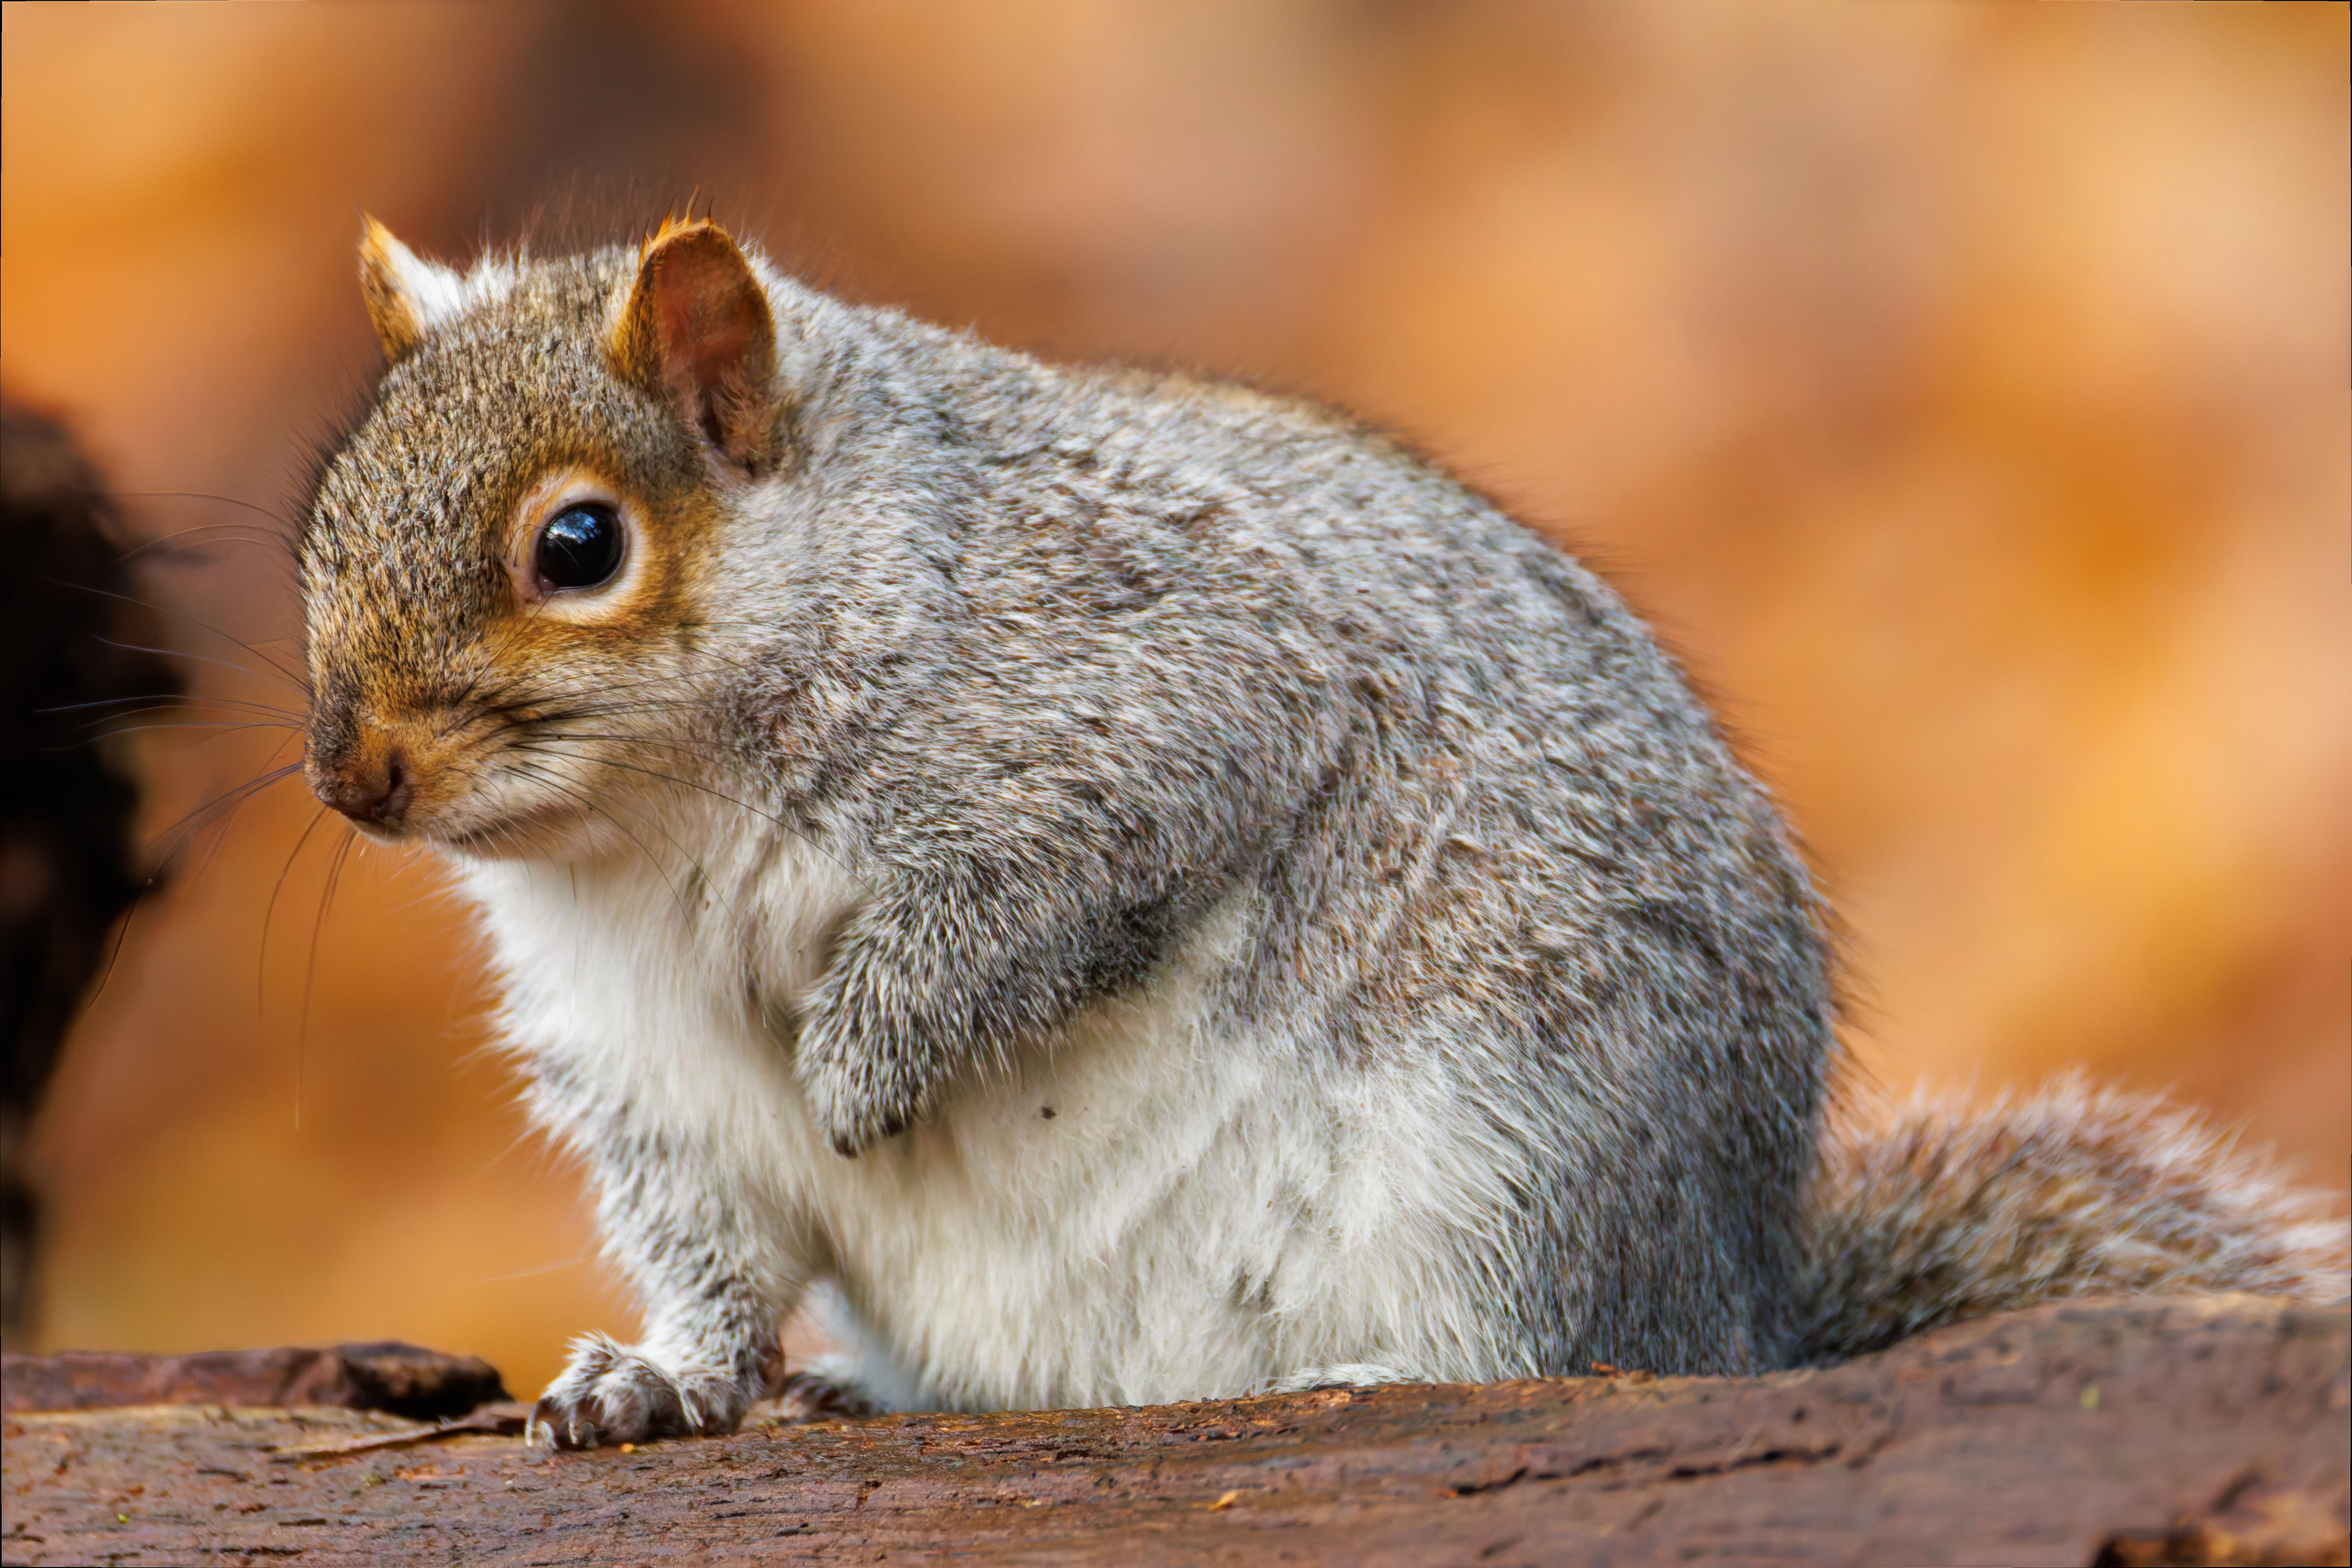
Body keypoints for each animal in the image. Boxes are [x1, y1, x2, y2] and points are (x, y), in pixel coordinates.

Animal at [298, 217, 2346, 1449]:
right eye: (324, 514)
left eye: (580, 545)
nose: (352, 775)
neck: (664, 835)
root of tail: (1737, 1304)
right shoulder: (645, 1068)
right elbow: (715, 1252)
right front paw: (652, 1381)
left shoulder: (1160, 703)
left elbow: (1032, 902)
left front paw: (873, 1059)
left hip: (1510, 1139)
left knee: (1557, 1347)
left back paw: (1391, 1370)